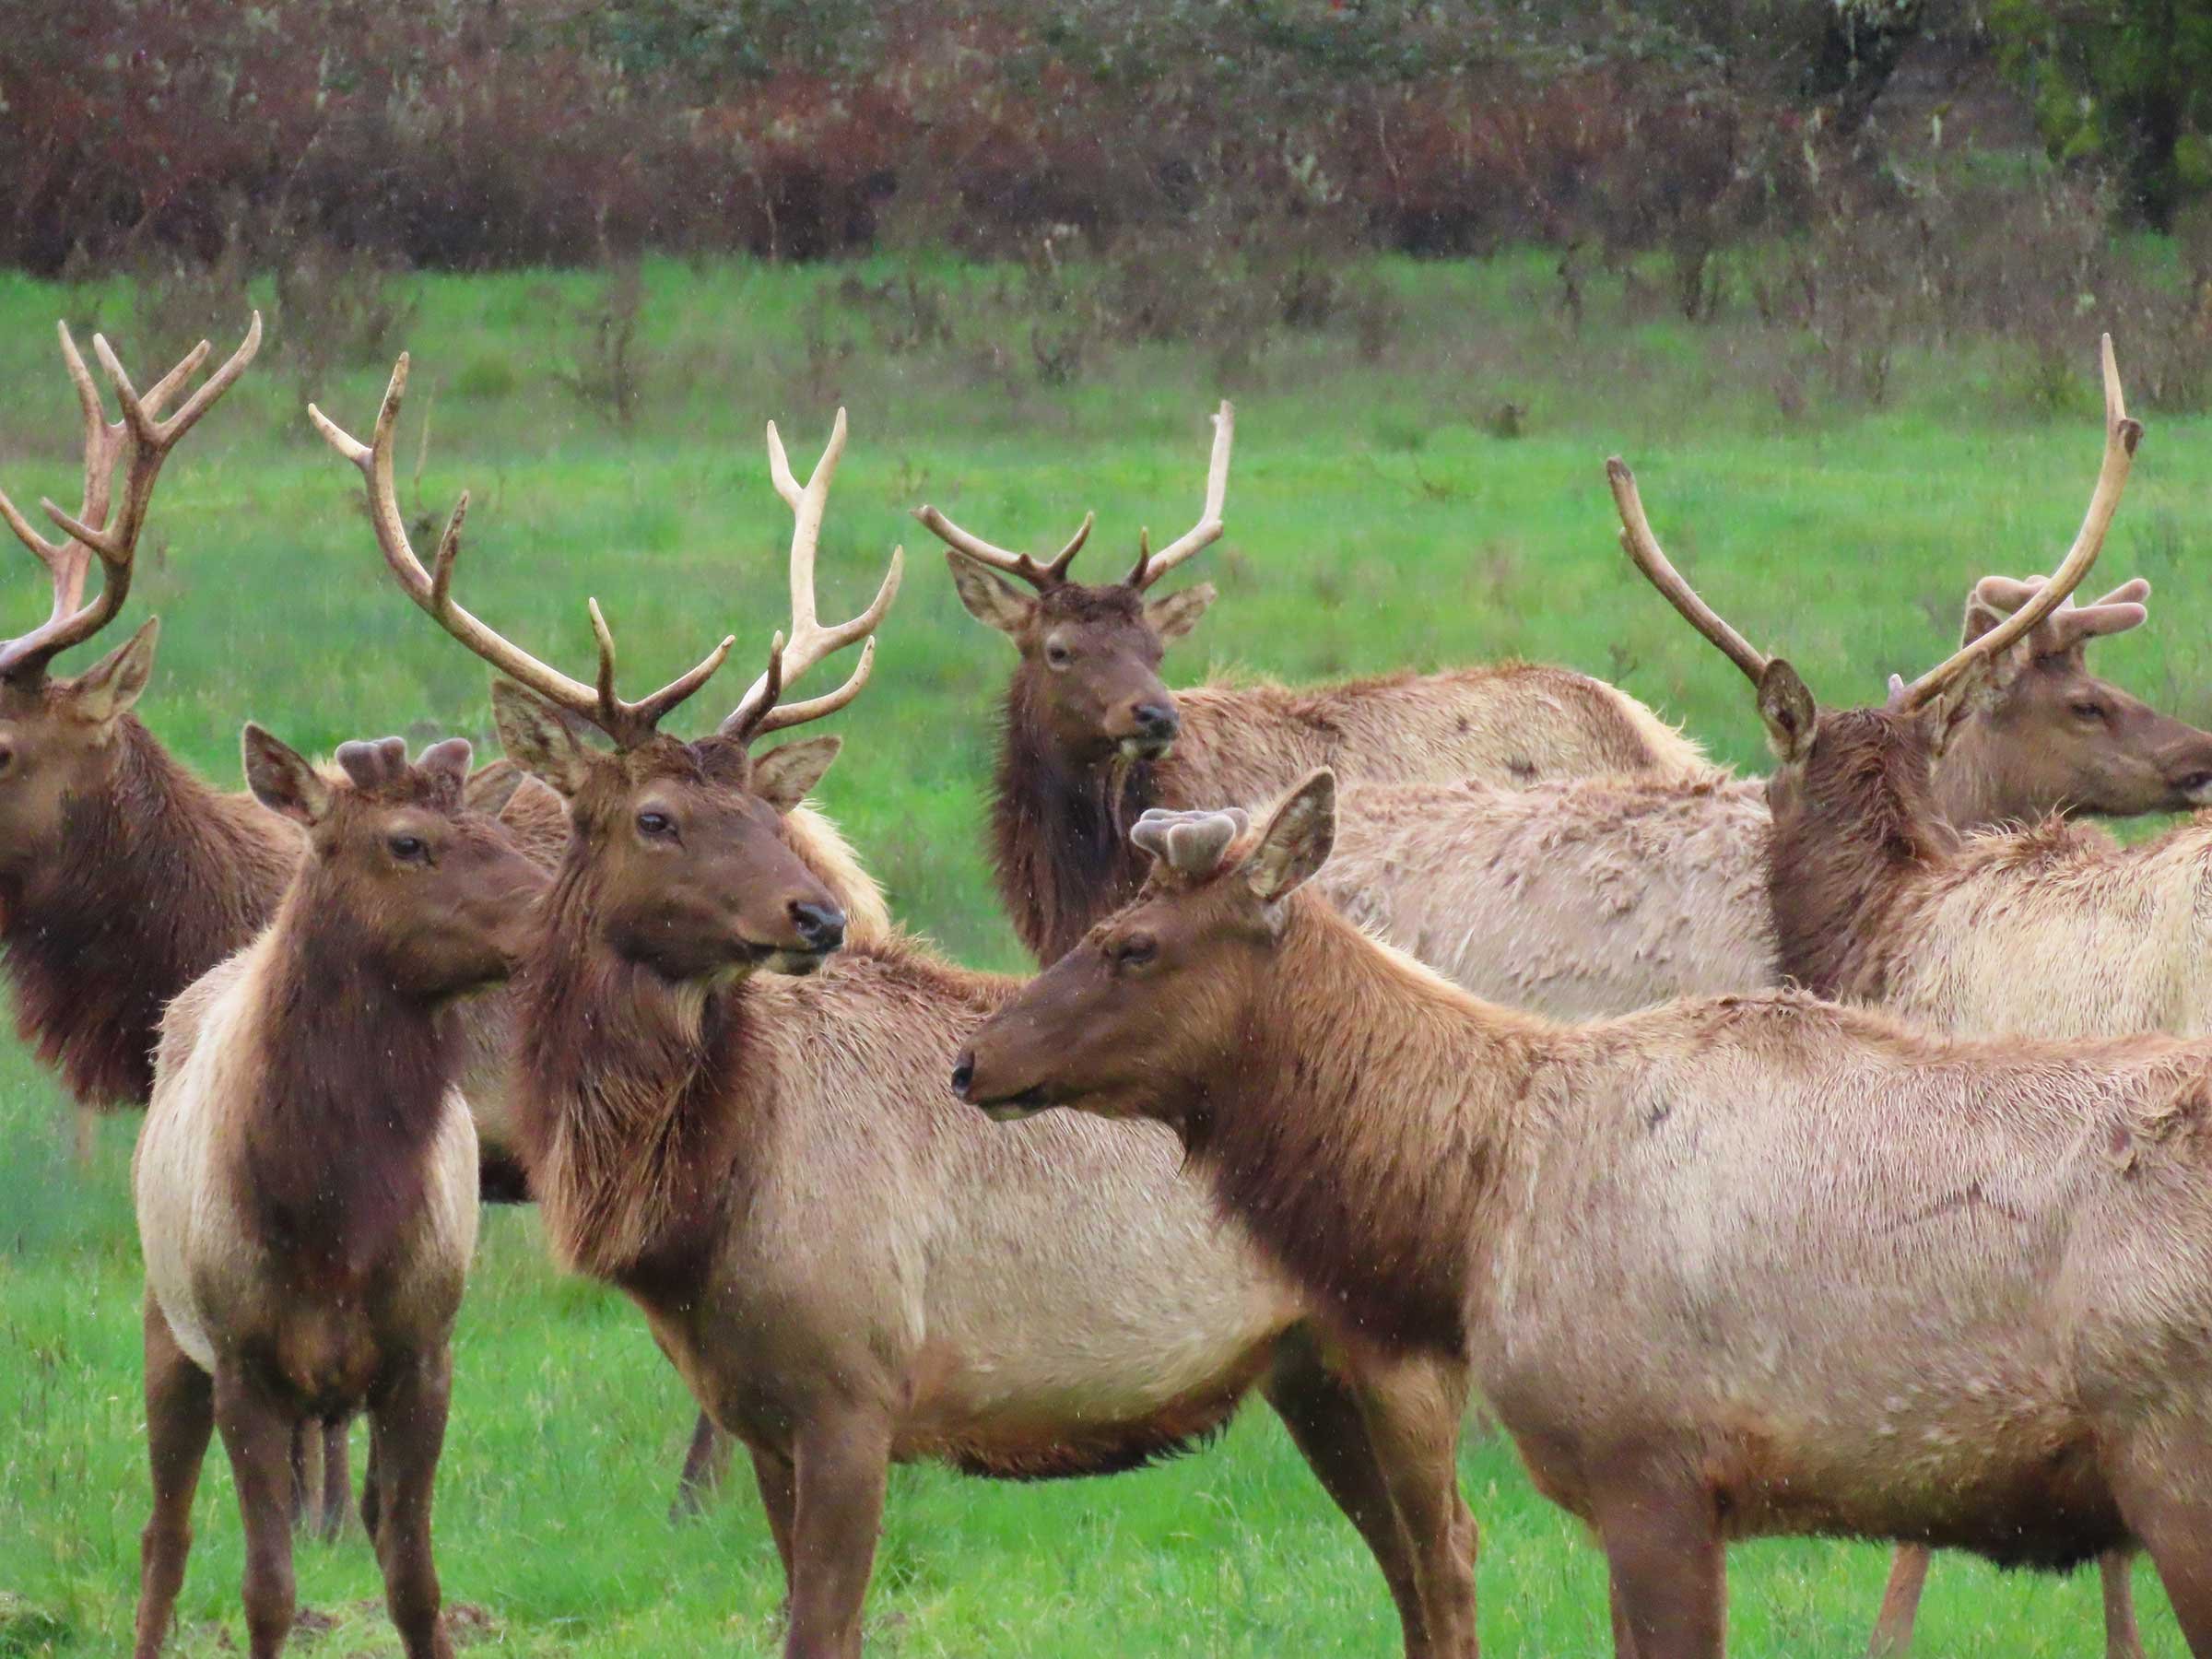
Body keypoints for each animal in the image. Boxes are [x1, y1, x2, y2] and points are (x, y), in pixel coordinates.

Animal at [130, 727, 547, 1659]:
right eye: (407, 842)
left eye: (496, 831)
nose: (563, 916)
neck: (333, 1222)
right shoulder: (241, 1363)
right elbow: (267, 1592)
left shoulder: (425, 1356)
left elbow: (415, 1583)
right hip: (167, 1329)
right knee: (164, 1538)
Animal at [323, 357, 1481, 1659]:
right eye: (655, 818)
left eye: (767, 811)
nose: (821, 915)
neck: (702, 1203)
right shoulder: (761, 1413)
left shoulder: (855, 1393)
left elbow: (823, 1628)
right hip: (1306, 1364)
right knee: (1408, 1570)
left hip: (1397, 1349)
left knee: (1452, 1555)